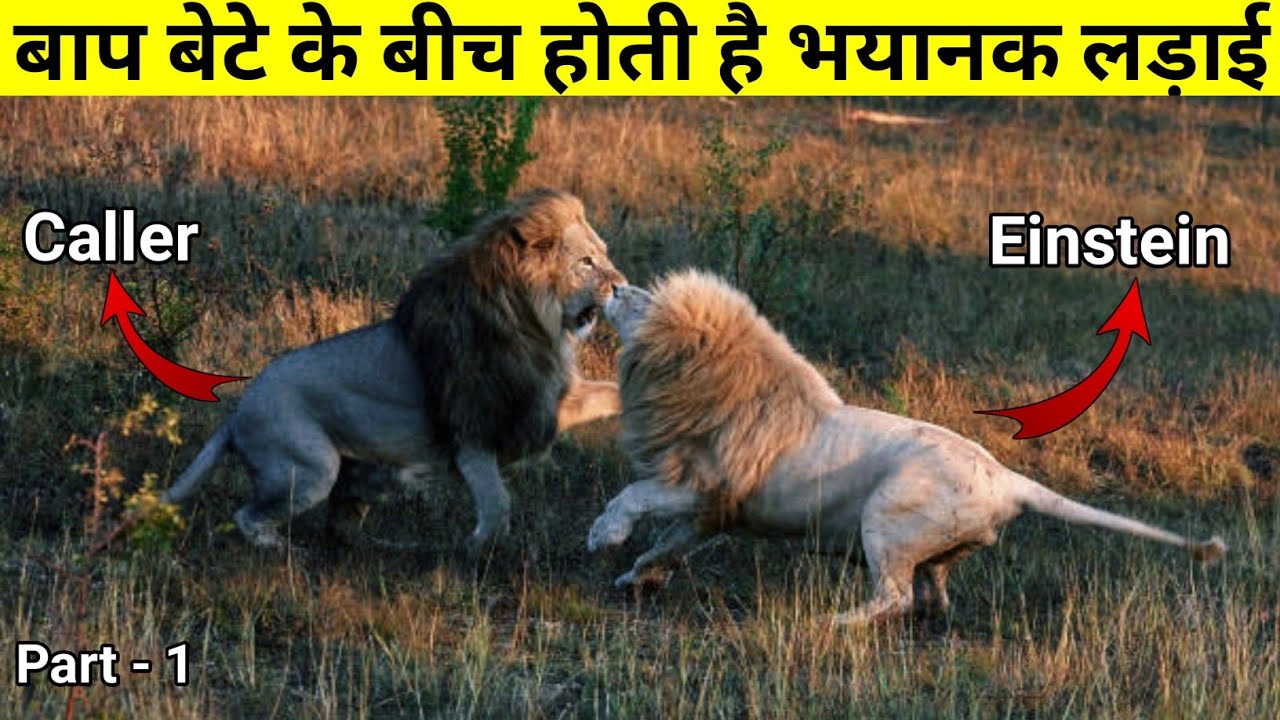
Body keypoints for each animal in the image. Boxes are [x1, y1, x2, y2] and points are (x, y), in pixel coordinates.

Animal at [163, 189, 626, 556]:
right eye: (587, 262)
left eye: (605, 255)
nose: (621, 285)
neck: (533, 321)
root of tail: (236, 415)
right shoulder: (472, 431)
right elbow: (497, 505)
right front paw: (476, 550)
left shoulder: (542, 399)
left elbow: (609, 391)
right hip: (309, 466)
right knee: (248, 515)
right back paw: (284, 550)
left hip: (361, 473)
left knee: (340, 526)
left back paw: (384, 546)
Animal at [587, 270, 1225, 625]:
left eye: (641, 302)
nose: (612, 285)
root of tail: (1005, 478)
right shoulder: (713, 511)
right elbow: (668, 546)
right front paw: (636, 578)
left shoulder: (709, 486)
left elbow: (633, 494)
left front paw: (603, 537)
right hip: (934, 545)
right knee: (931, 589)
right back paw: (929, 617)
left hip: (885, 518)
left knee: (892, 597)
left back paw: (835, 624)